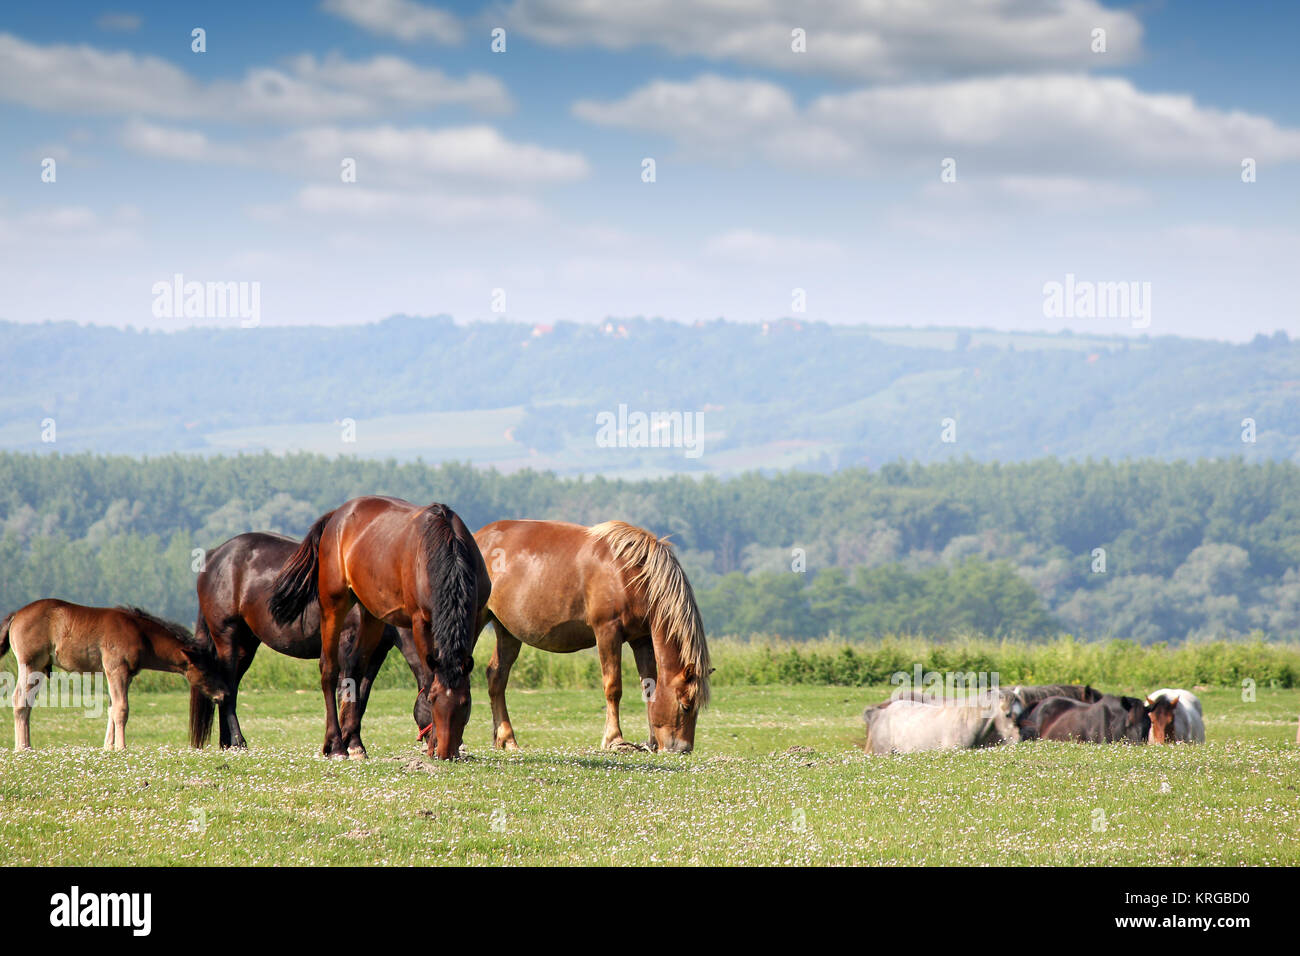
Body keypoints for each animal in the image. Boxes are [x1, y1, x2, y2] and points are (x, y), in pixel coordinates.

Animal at [0, 599, 231, 751]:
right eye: (206, 670)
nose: (223, 694)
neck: (141, 634)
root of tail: (16, 615)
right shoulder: (116, 670)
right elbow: (122, 709)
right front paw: (121, 747)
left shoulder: (124, 675)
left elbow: (112, 709)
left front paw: (108, 747)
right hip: (30, 665)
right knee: (19, 700)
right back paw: (22, 748)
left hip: (39, 668)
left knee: (27, 702)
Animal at [194, 531, 433, 749]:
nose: (439, 751)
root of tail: (215, 555)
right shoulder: (346, 645)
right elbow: (345, 692)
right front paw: (348, 744)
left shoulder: (376, 654)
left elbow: (361, 697)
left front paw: (354, 742)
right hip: (227, 636)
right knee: (227, 687)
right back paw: (238, 740)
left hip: (246, 645)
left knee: (230, 687)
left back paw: (228, 743)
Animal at [269, 497, 490, 760]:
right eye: (433, 700)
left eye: (466, 703)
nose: (447, 752)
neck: (447, 548)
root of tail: (337, 515)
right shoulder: (419, 622)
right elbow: (428, 677)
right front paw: (433, 743)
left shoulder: (474, 618)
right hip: (334, 603)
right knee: (329, 669)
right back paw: (336, 745)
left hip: (371, 614)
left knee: (354, 667)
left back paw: (354, 742)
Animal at [473, 519, 712, 754]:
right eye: (685, 705)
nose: (683, 749)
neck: (630, 574)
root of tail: (478, 537)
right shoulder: (607, 632)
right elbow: (613, 686)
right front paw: (615, 739)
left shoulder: (641, 639)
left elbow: (649, 686)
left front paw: (651, 741)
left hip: (507, 632)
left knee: (496, 676)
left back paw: (507, 739)